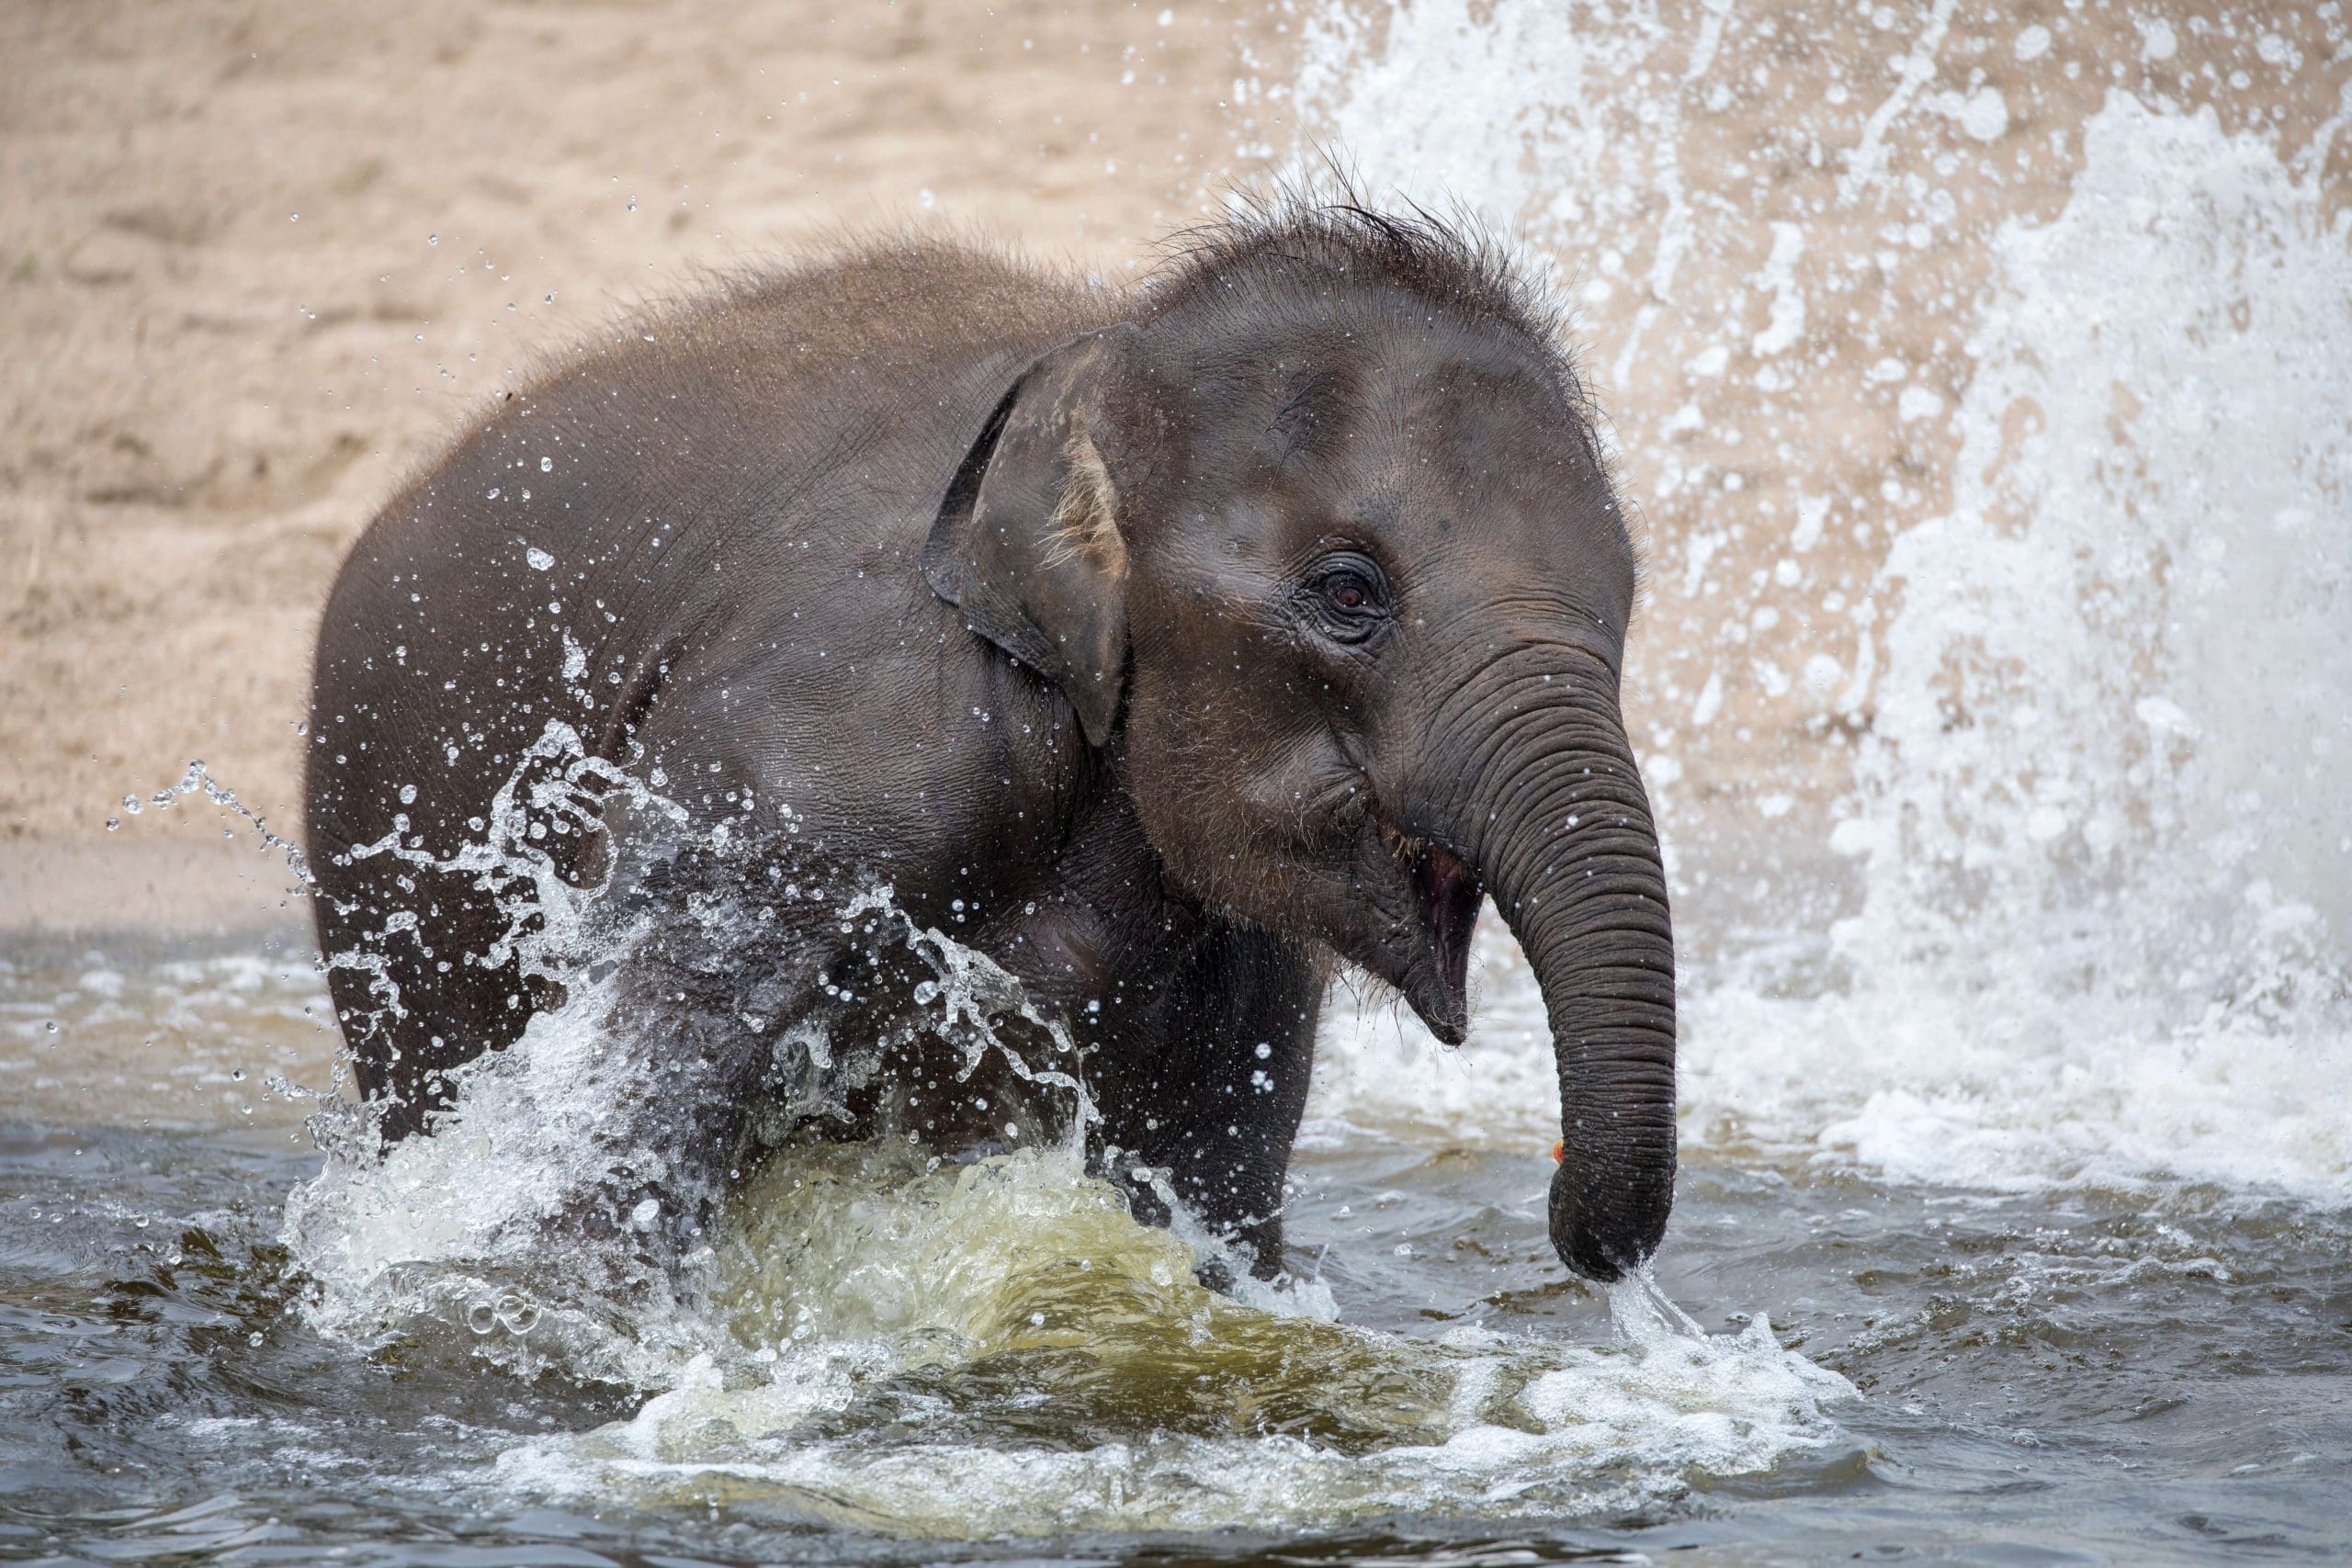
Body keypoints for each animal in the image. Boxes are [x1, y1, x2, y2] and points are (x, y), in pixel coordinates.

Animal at [304, 202, 1677, 1286]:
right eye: (1350, 593)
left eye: (1624, 605)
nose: (1571, 1225)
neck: (1105, 353)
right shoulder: (808, 775)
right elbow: (611, 1153)